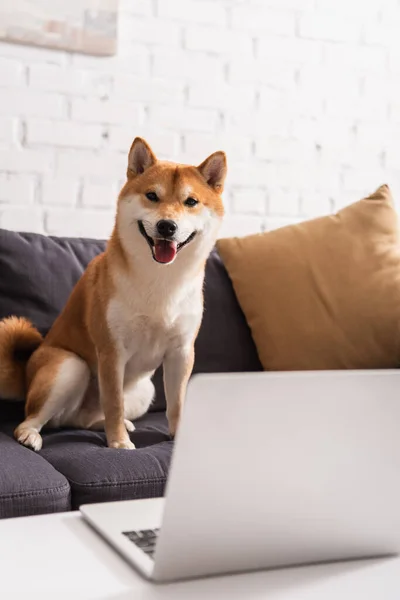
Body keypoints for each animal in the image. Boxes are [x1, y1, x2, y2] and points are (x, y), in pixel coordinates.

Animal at [0, 138, 225, 448]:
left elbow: (177, 404)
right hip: (70, 367)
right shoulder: (111, 351)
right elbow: (114, 403)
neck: (161, 278)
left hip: (144, 391)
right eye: (152, 196)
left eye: (191, 202)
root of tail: (26, 377)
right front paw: (118, 443)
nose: (167, 226)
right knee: (35, 418)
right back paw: (30, 435)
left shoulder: (181, 353)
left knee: (84, 419)